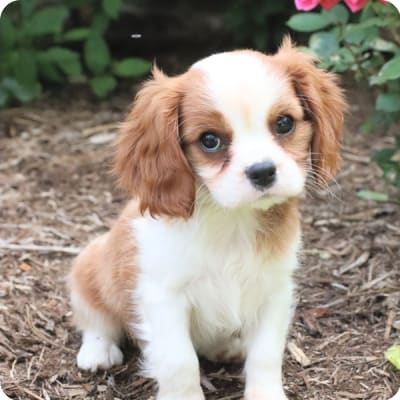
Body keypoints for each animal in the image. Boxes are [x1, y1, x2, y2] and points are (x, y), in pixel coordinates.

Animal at [69, 38, 344, 400]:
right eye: (210, 141)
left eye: (284, 123)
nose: (262, 171)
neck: (232, 220)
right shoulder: (164, 297)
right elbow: (179, 361)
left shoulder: (274, 290)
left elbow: (267, 353)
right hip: (88, 267)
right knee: (95, 320)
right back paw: (98, 350)